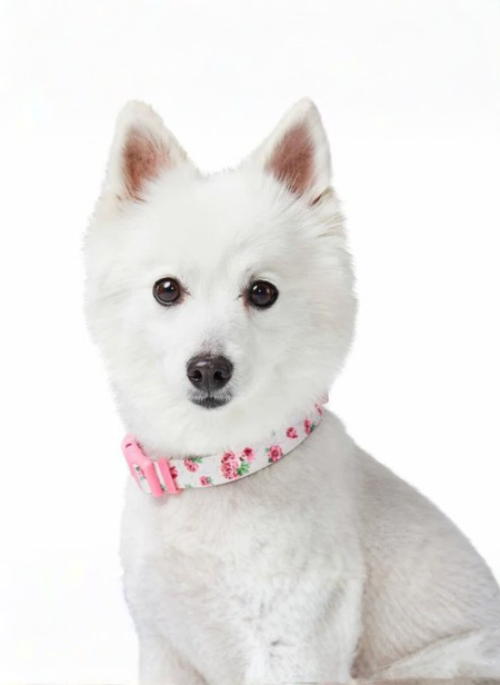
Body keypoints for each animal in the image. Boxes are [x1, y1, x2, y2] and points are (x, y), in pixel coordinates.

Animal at [84, 99, 500, 683]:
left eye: (262, 292)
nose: (208, 369)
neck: (218, 473)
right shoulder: (164, 648)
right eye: (167, 290)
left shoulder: (293, 645)